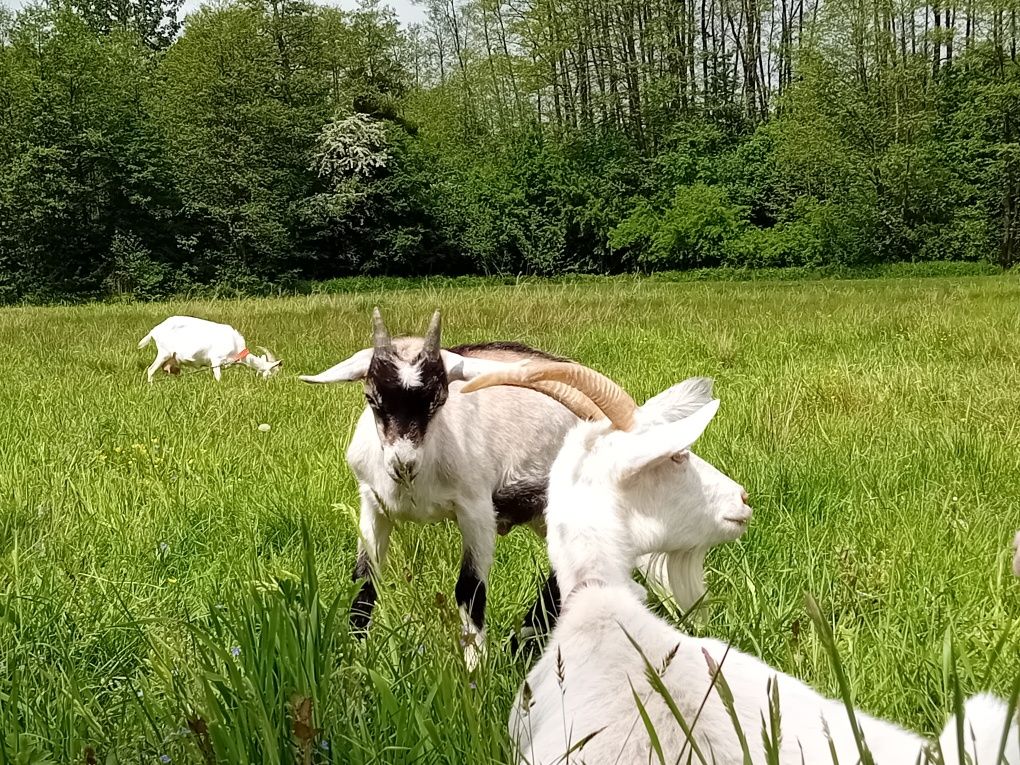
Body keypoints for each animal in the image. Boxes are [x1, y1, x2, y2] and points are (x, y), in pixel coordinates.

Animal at [137, 314, 283, 383]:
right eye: (272, 372)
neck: (236, 347)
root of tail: (154, 331)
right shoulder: (216, 359)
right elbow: (218, 377)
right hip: (164, 352)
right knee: (150, 370)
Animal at [299, 308, 603, 669]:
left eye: (438, 399)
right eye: (371, 398)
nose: (403, 464)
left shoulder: (477, 510)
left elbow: (469, 590)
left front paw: (474, 669)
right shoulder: (372, 506)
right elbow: (364, 583)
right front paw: (354, 663)